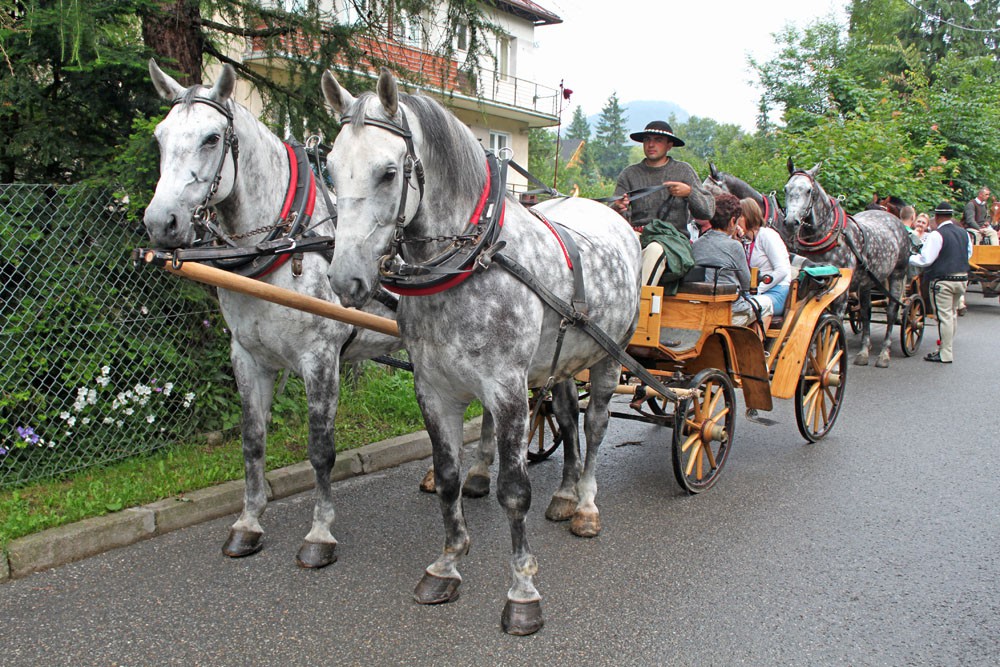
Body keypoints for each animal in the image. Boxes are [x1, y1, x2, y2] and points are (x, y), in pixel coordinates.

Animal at [144, 60, 403, 568]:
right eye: (160, 137)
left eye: (211, 138)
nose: (160, 223)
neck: (284, 244)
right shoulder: (247, 357)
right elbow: (252, 440)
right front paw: (248, 523)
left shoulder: (320, 359)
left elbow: (321, 449)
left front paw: (320, 533)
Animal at [320, 68, 641, 635]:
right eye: (331, 171)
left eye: (387, 173)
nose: (345, 279)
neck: (474, 258)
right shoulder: (433, 389)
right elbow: (448, 479)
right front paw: (447, 563)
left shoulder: (507, 390)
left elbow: (513, 490)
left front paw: (523, 591)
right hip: (562, 359)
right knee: (566, 416)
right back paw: (564, 494)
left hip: (610, 355)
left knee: (597, 424)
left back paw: (584, 504)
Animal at [784, 159, 911, 368]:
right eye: (786, 189)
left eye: (809, 190)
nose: (790, 222)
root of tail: (896, 222)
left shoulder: (841, 293)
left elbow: (831, 325)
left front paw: (829, 358)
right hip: (868, 282)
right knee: (866, 313)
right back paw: (864, 352)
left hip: (897, 275)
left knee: (892, 311)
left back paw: (884, 354)